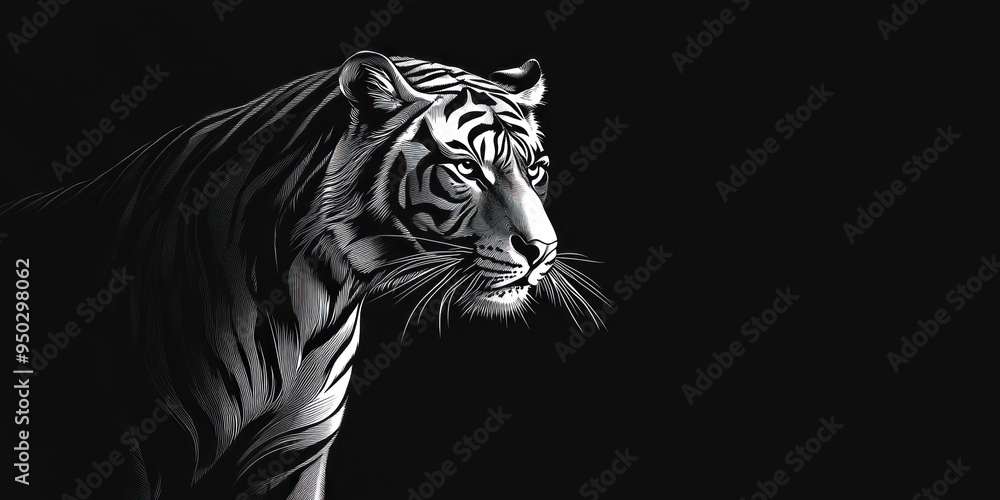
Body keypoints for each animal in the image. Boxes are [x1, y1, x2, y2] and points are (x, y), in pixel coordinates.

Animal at [0, 50, 605, 499]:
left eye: (536, 169)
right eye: (465, 169)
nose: (543, 250)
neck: (314, 295)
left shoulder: (293, 453)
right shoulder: (124, 452)